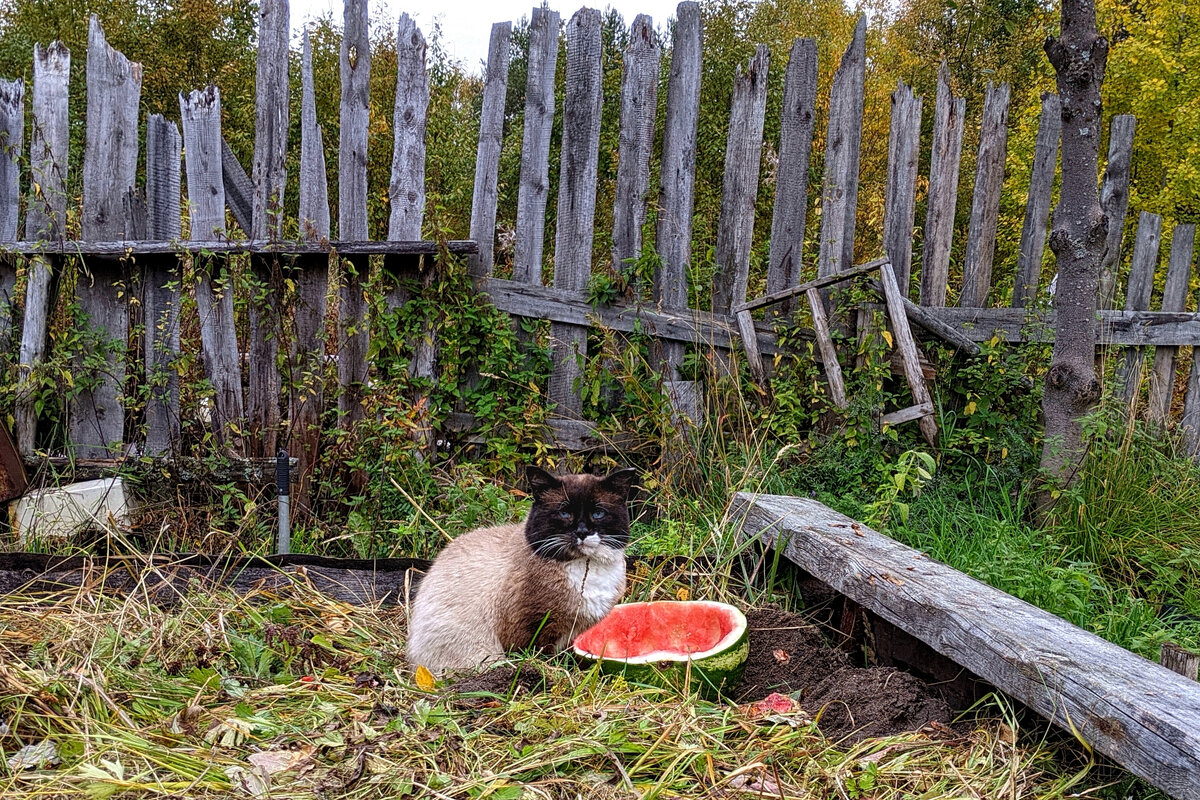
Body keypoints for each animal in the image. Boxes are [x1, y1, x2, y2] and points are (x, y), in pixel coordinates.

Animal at [408, 465, 638, 671]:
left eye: (598, 513)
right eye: (564, 513)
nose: (582, 532)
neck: (585, 568)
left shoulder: (579, 630)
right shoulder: (532, 627)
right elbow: (537, 654)